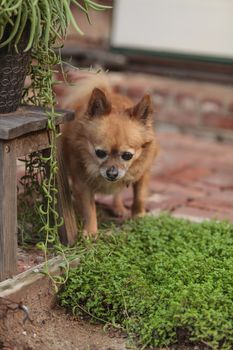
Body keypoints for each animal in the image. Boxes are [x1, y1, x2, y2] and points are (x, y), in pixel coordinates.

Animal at [60, 74, 158, 238]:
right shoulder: (82, 183)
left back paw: (118, 207)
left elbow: (139, 197)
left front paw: (139, 216)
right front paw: (91, 231)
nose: (112, 173)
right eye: (100, 153)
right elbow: (89, 208)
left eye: (127, 156)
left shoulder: (142, 174)